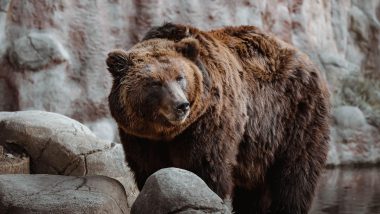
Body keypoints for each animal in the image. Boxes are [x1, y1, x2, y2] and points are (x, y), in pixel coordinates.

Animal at [106, 22, 330, 213]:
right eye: (154, 82)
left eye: (180, 77)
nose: (182, 106)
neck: (166, 132)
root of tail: (308, 61)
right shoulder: (140, 136)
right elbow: (148, 168)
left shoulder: (209, 121)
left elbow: (205, 166)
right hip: (259, 148)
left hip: (294, 116)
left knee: (295, 174)